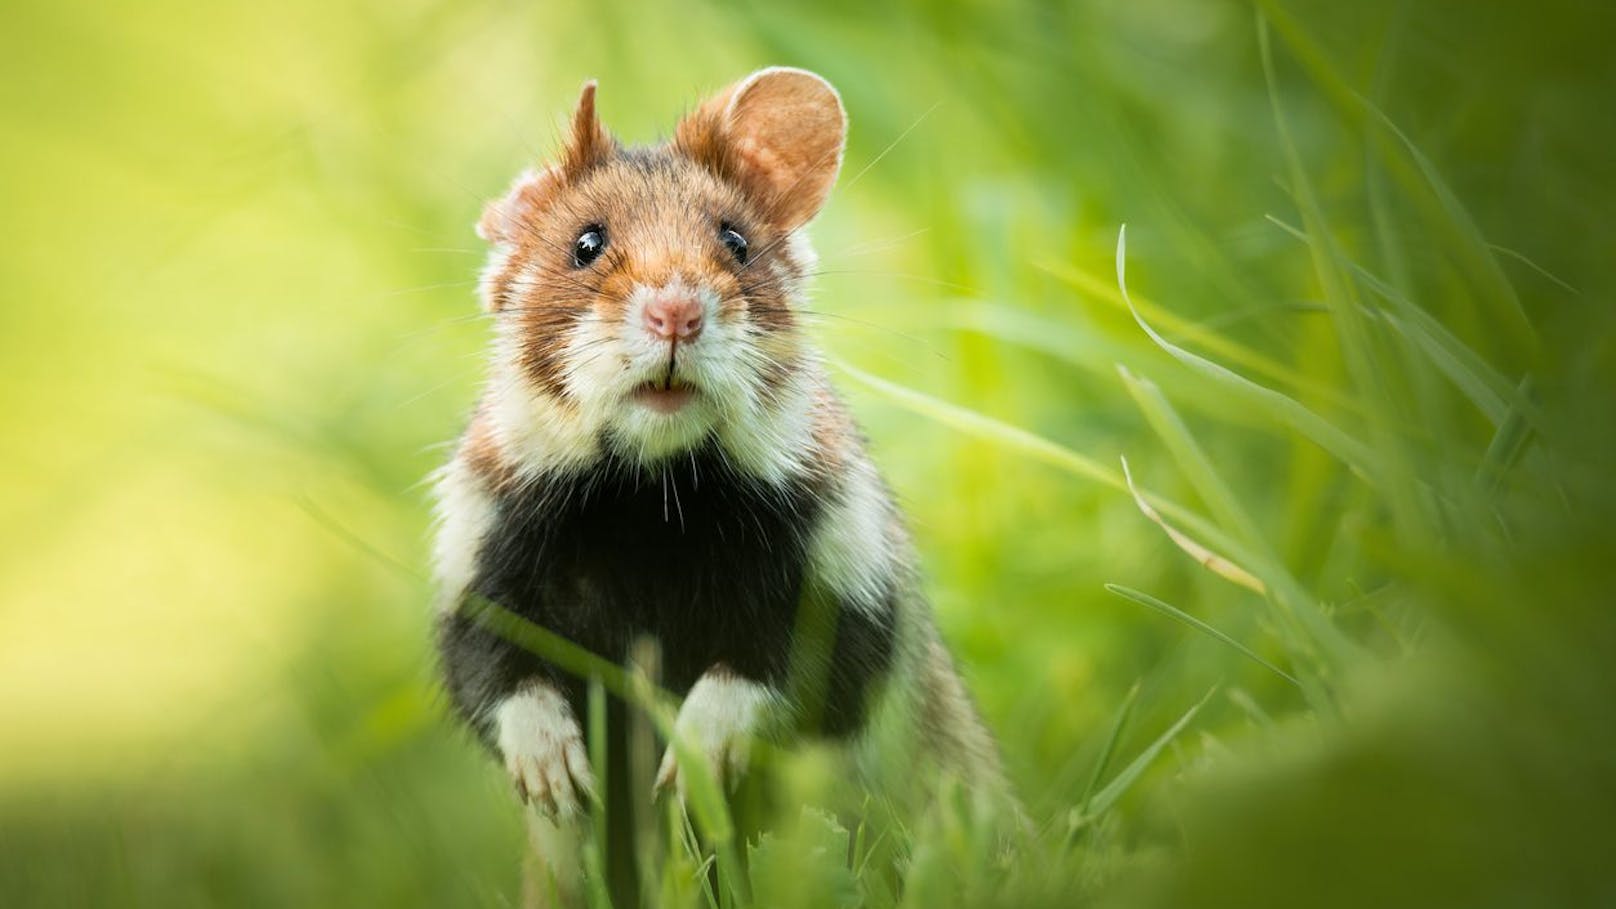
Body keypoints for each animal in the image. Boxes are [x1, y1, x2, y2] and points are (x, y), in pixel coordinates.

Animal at [436, 67, 1001, 899]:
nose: (676, 312)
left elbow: (769, 679)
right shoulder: (478, 575)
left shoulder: (849, 585)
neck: (653, 498)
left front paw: (685, 767)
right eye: (586, 243)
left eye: (735, 240)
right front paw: (558, 776)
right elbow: (499, 679)